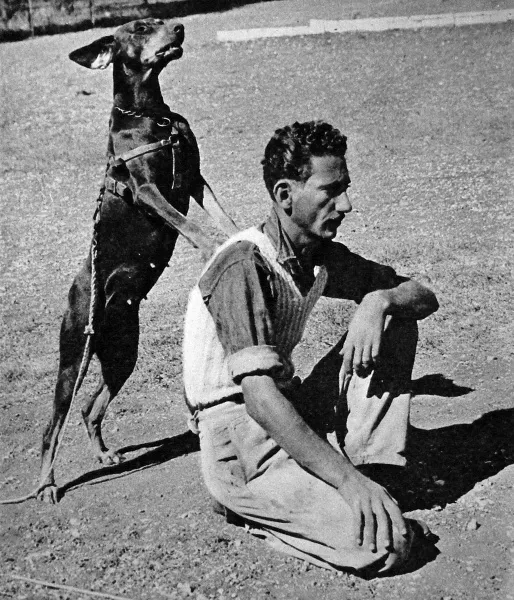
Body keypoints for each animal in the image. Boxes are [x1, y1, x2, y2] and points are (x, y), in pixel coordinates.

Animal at [38, 18, 238, 504]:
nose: (180, 26)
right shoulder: (148, 191)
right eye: (142, 27)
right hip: (73, 357)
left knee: (91, 408)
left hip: (121, 353)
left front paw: (236, 232)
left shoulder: (194, 177)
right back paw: (47, 484)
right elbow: (191, 226)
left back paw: (104, 454)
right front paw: (212, 247)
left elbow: (218, 212)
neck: (151, 116)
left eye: (159, 18)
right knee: (53, 427)